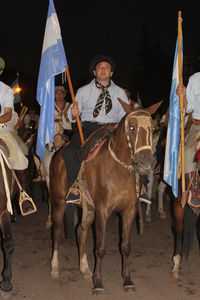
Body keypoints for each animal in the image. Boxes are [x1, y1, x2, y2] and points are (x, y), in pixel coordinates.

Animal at [49, 99, 162, 294]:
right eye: (132, 127)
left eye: (153, 128)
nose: (145, 162)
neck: (118, 171)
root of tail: (57, 153)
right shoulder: (102, 211)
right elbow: (100, 248)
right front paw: (98, 283)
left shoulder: (129, 211)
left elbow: (125, 246)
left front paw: (127, 280)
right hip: (58, 203)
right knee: (56, 232)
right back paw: (55, 268)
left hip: (88, 209)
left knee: (80, 232)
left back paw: (85, 269)